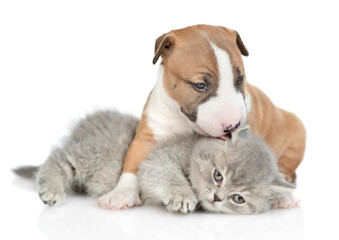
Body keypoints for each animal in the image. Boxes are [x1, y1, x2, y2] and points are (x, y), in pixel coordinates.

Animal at [13, 110, 294, 214]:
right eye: (218, 176)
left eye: (238, 198)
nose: (217, 197)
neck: (194, 147)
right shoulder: (153, 161)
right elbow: (167, 174)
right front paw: (182, 195)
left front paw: (285, 199)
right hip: (94, 153)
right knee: (57, 157)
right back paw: (51, 190)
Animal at [97, 24, 306, 210]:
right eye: (200, 85)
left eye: (240, 79)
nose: (233, 125)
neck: (186, 121)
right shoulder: (148, 134)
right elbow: (132, 161)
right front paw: (120, 194)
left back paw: (284, 197)